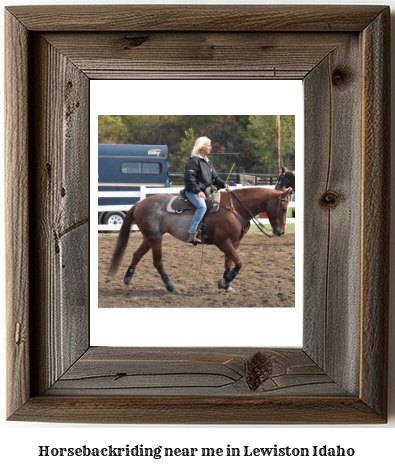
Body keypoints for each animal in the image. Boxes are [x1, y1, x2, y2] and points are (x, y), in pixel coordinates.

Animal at [107, 186, 290, 290]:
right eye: (283, 208)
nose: (281, 232)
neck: (234, 208)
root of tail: (139, 203)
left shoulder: (234, 243)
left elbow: (230, 263)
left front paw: (227, 284)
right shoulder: (223, 242)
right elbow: (238, 263)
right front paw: (224, 282)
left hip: (150, 237)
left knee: (136, 255)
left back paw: (127, 279)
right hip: (155, 238)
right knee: (157, 262)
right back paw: (171, 286)